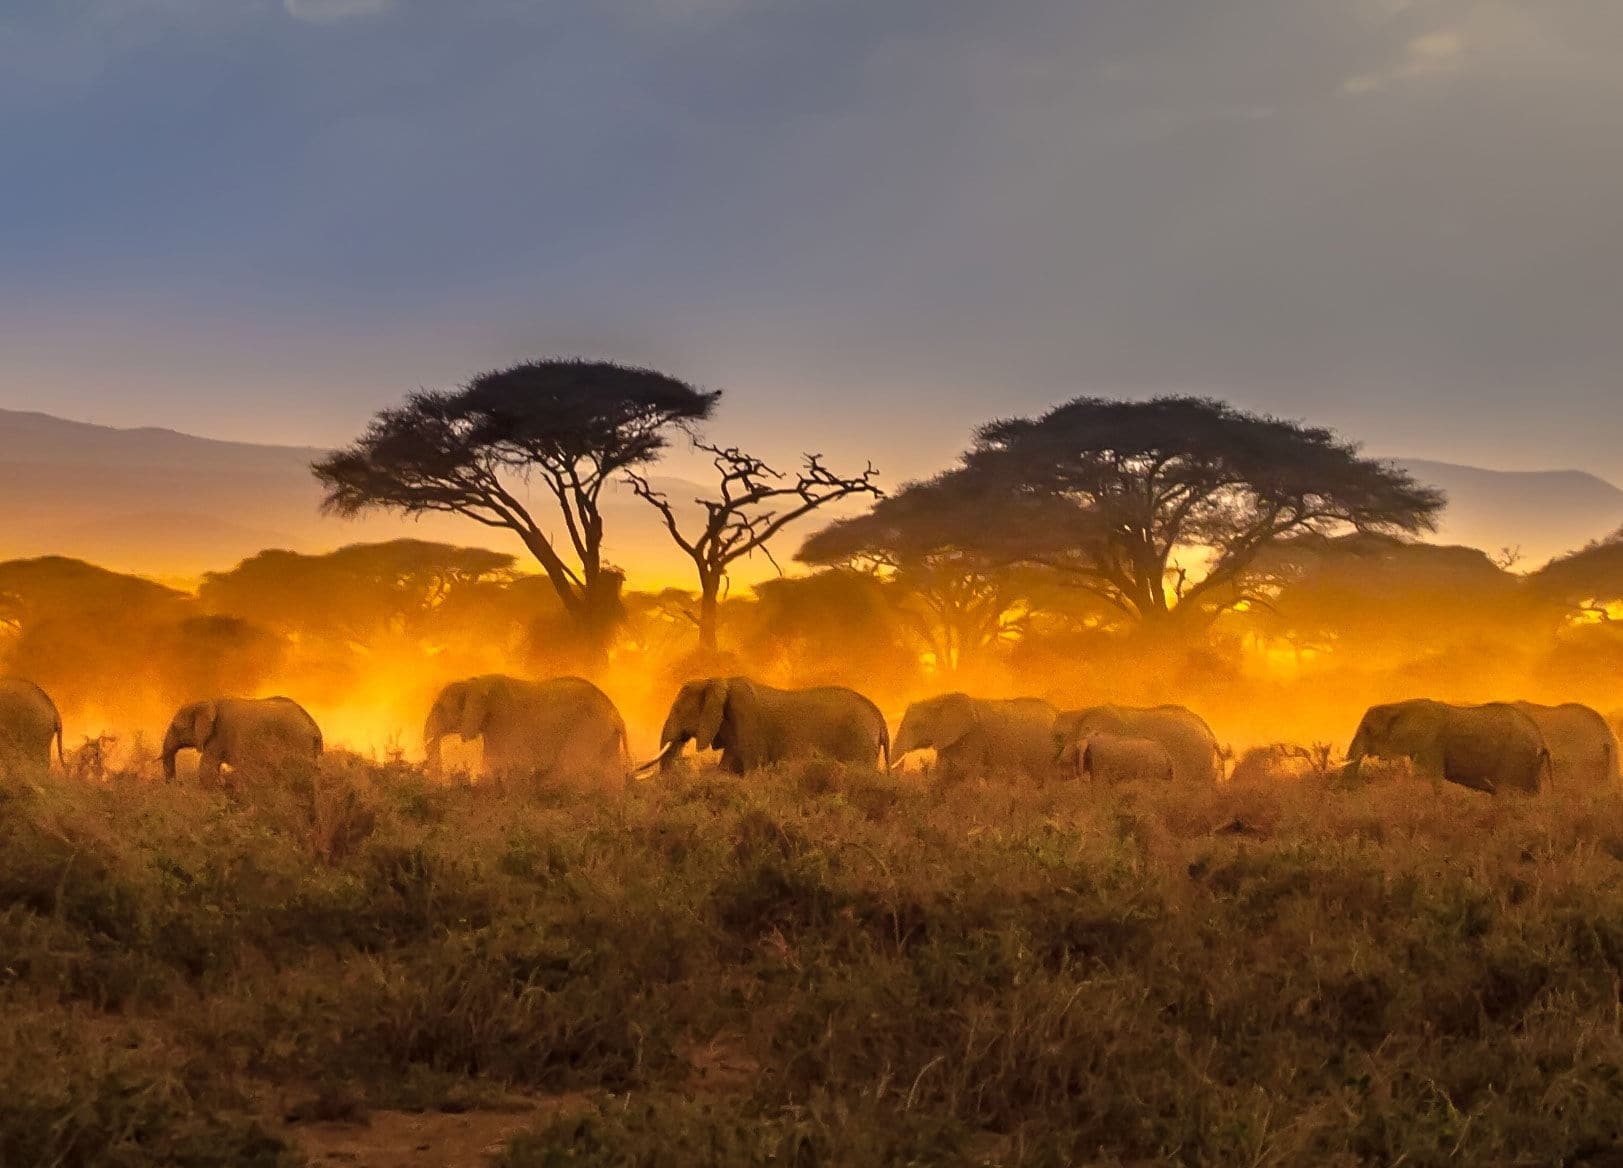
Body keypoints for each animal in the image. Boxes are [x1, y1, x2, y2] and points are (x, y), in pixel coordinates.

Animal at [161, 696, 323, 784]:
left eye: (176, 727)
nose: (179, 784)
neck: (208, 701)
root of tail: (313, 725)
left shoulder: (217, 736)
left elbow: (207, 770)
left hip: (297, 741)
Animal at [424, 675, 628, 784]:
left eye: (440, 708)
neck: (473, 682)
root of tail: (616, 714)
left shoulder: (504, 722)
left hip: (589, 728)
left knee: (570, 768)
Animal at [649, 676, 888, 775]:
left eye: (678, 711)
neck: (715, 680)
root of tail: (878, 715)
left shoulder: (747, 723)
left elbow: (752, 770)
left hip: (859, 740)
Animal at [1345, 699, 1552, 794]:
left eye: (1368, 730)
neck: (1399, 706)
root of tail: (1541, 739)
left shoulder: (1431, 743)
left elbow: (1424, 778)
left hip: (1515, 758)